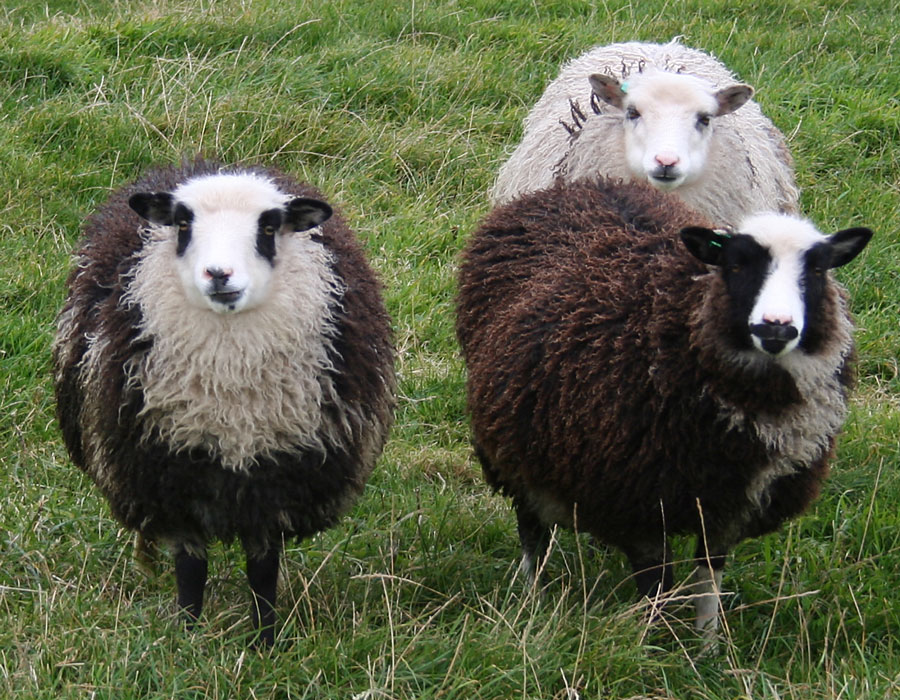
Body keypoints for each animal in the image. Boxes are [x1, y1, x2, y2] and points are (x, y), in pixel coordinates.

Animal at [54, 159, 396, 644]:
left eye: (269, 227)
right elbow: (190, 568)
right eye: (183, 223)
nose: (219, 274)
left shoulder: (276, 480)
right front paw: (187, 636)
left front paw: (265, 641)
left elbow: (263, 570)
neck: (232, 401)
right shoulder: (171, 475)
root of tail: (206, 162)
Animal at [458, 178, 872, 644]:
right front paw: (654, 647)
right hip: (511, 442)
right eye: (735, 264)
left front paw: (708, 647)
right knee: (533, 532)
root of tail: (587, 185)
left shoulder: (727, 504)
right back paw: (532, 602)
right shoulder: (637, 499)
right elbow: (657, 584)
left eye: (817, 270)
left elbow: (708, 577)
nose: (776, 327)